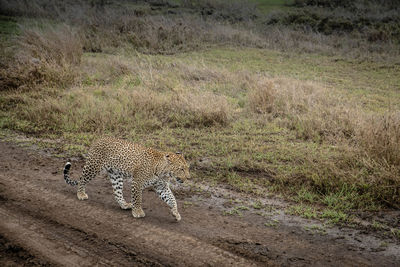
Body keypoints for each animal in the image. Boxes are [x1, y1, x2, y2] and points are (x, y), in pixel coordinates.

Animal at [63, 136, 191, 222]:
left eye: (187, 168)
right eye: (181, 169)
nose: (189, 177)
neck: (163, 171)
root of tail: (98, 139)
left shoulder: (161, 187)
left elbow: (172, 199)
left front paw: (175, 212)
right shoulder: (137, 182)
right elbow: (138, 198)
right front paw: (137, 212)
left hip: (116, 175)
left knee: (117, 192)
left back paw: (124, 204)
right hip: (93, 167)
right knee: (82, 180)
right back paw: (81, 194)